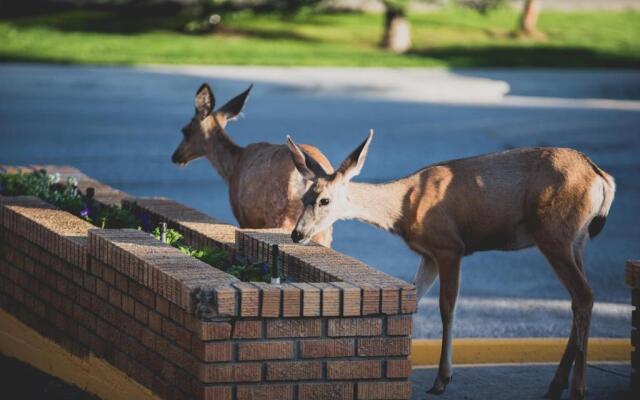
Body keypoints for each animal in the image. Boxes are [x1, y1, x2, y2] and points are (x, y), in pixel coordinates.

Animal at [172, 83, 336, 247]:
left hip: (280, 213)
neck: (233, 166)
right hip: (324, 227)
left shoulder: (243, 217)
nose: (175, 156)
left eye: (185, 130)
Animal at [286, 130, 616, 398]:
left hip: (554, 233)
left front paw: (442, 380)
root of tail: (602, 178)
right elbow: (415, 299)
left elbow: (447, 308)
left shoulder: (450, 247)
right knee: (579, 298)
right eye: (303, 198)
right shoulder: (428, 254)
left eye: (325, 201)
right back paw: (556, 385)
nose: (297, 234)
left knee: (583, 295)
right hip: (576, 239)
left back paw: (578, 388)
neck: (404, 209)